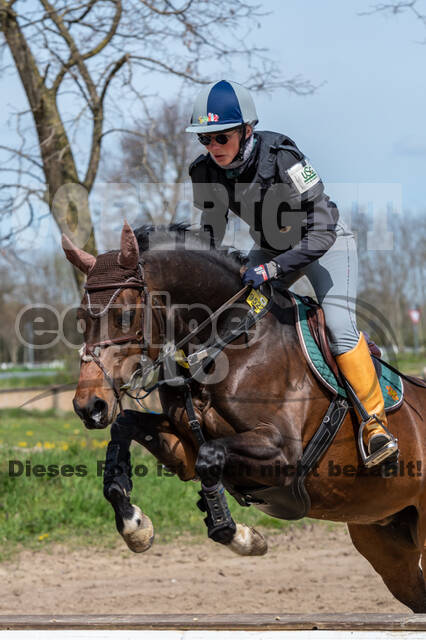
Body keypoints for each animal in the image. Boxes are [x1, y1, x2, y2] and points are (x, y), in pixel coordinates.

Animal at [60, 222, 426, 612]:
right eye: (80, 319)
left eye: (125, 315)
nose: (89, 406)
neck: (224, 342)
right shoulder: (183, 447)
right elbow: (125, 428)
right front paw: (135, 525)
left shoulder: (284, 455)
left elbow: (211, 457)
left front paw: (239, 534)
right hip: (384, 538)